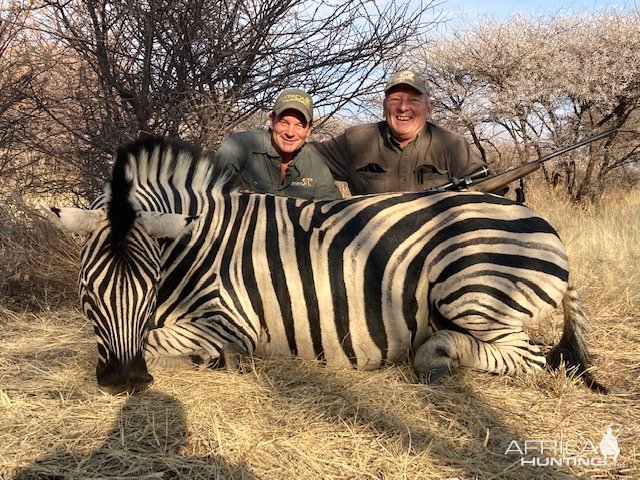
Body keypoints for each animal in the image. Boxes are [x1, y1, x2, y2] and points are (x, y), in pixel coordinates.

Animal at [41, 134, 604, 394]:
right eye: (87, 290)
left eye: (149, 282)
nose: (125, 381)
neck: (193, 248)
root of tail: (542, 221)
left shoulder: (232, 323)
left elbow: (162, 341)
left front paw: (209, 360)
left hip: (470, 288)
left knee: (531, 357)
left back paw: (436, 354)